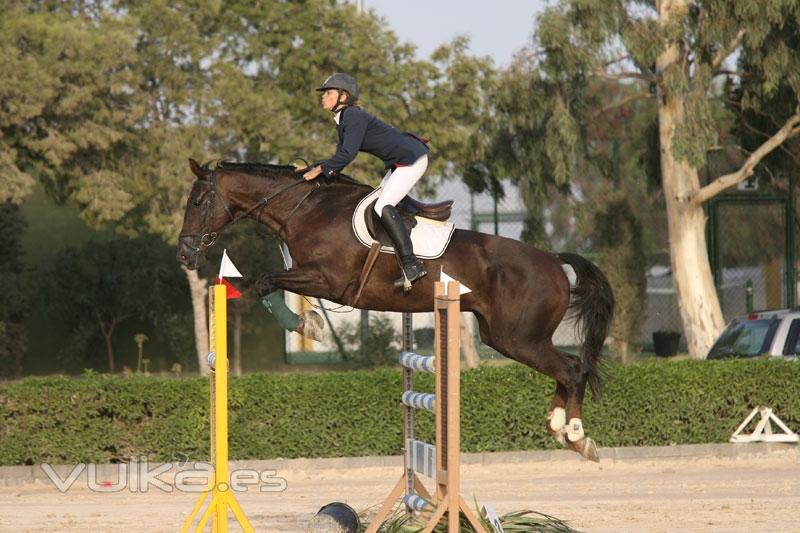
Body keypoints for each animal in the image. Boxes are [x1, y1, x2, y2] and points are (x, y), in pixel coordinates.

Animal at [177, 159, 612, 462]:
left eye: (197, 202)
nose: (184, 254)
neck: (306, 209)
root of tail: (554, 259)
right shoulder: (311, 277)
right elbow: (269, 283)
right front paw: (312, 322)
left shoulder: (329, 281)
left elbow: (267, 281)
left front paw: (309, 325)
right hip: (505, 336)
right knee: (568, 368)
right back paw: (559, 427)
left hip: (517, 337)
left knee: (572, 369)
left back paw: (576, 434)